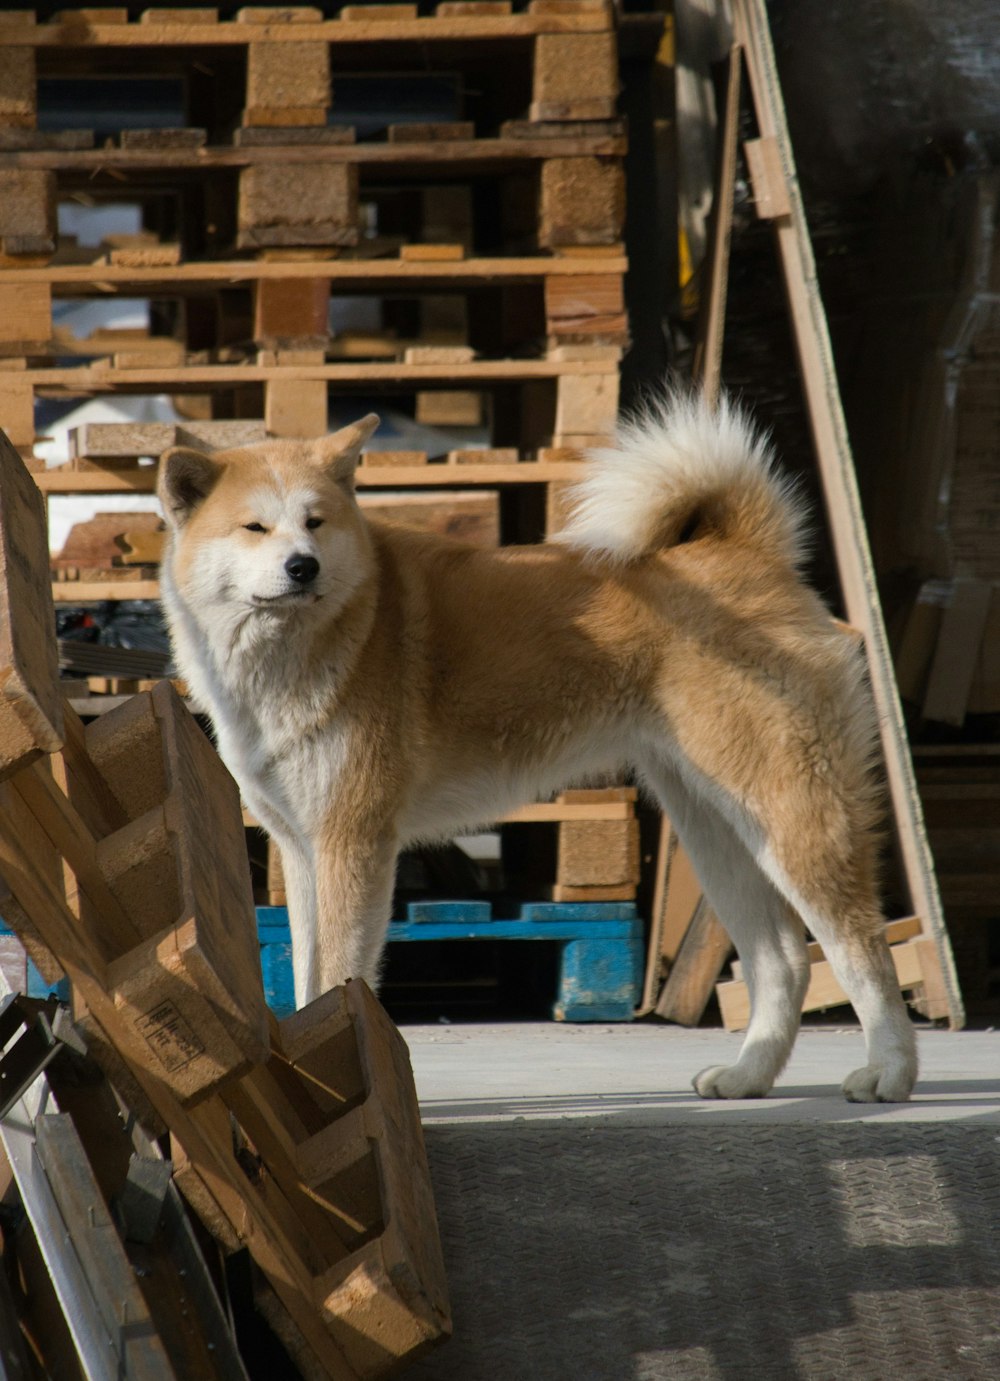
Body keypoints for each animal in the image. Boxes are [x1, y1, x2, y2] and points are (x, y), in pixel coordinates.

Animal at [158, 394, 922, 1104]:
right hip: (718, 830)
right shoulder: (302, 847)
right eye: (255, 527)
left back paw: (889, 1071)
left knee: (861, 945)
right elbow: (311, 978)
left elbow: (341, 974)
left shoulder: (353, 840)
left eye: (316, 521)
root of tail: (750, 553)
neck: (314, 645)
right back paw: (748, 1076)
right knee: (783, 959)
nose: (303, 566)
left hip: (792, 818)